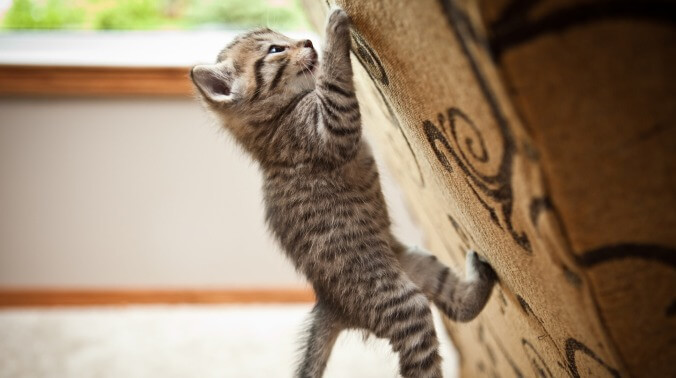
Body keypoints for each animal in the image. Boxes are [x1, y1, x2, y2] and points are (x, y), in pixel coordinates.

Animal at [190, 6, 496, 378]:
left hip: (418, 262)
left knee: (459, 309)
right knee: (419, 358)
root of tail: (331, 304)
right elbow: (334, 83)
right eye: (276, 50)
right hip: (400, 301)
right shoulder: (327, 130)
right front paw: (334, 31)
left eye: (284, 38)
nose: (307, 41)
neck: (274, 125)